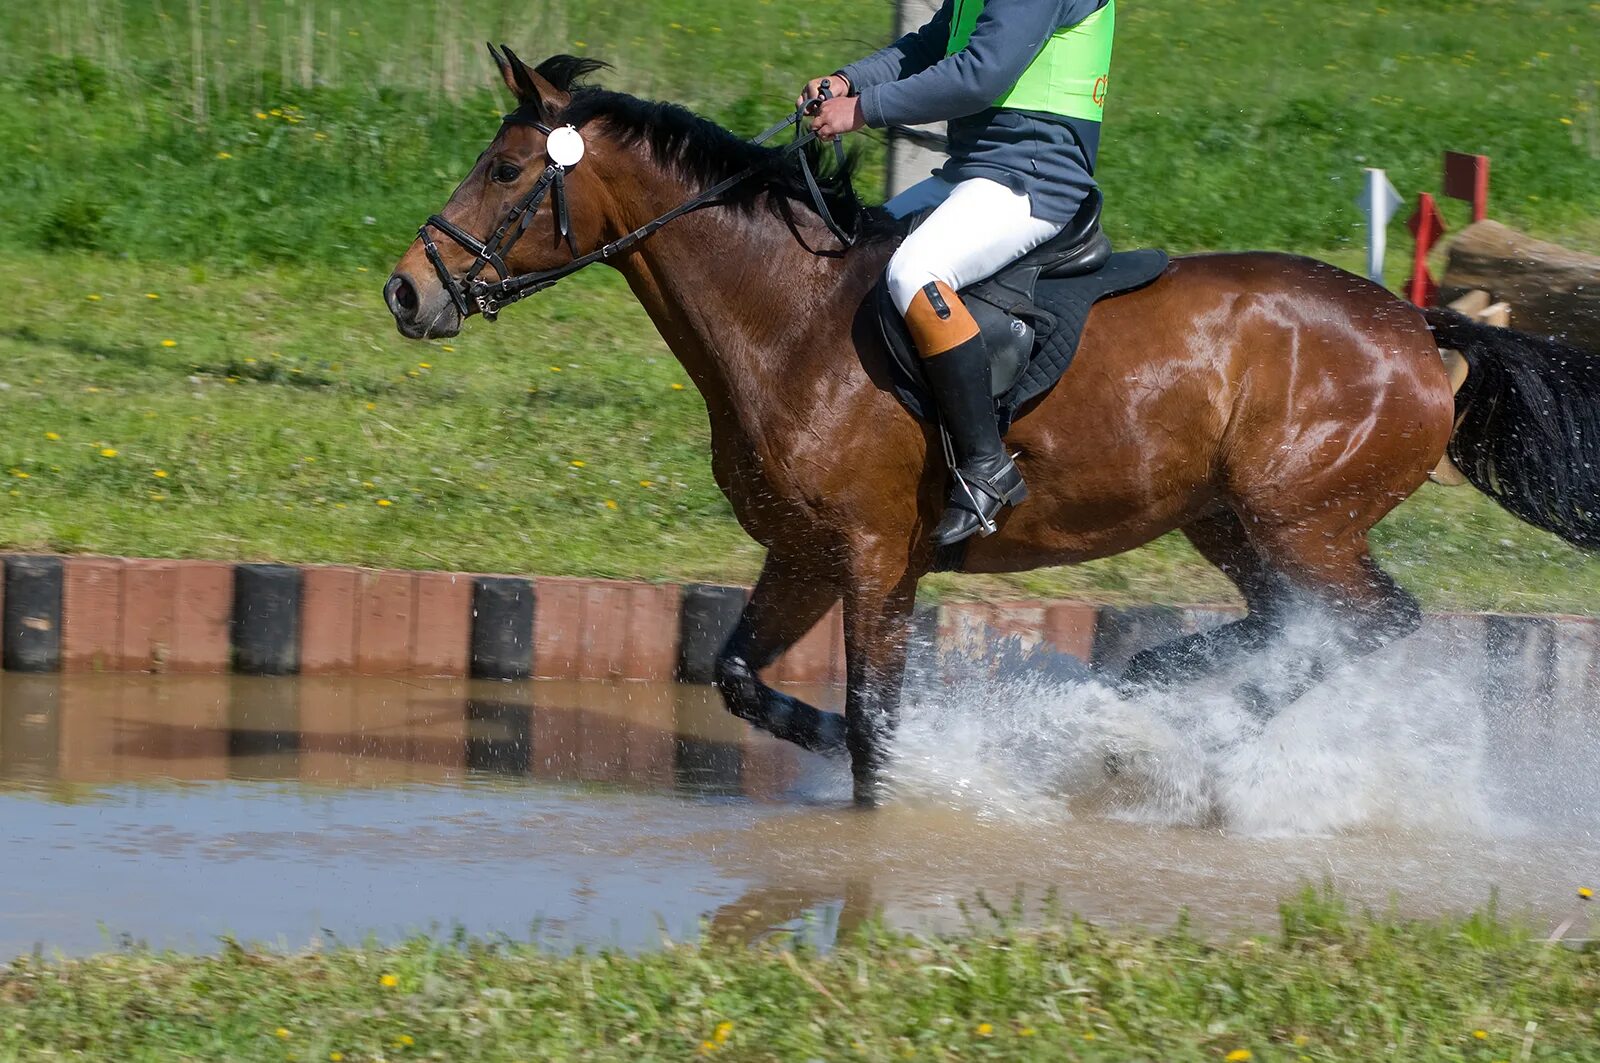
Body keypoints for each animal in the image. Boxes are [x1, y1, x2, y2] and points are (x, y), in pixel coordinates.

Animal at [387, 52, 1600, 806]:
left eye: (505, 169)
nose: (408, 292)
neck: (788, 317)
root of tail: (1417, 324)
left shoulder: (874, 552)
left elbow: (875, 718)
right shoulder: (804, 550)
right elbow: (739, 677)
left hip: (1304, 519)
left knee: (1364, 622)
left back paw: (1167, 729)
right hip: (1232, 522)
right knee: (1292, 626)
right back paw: (1149, 699)